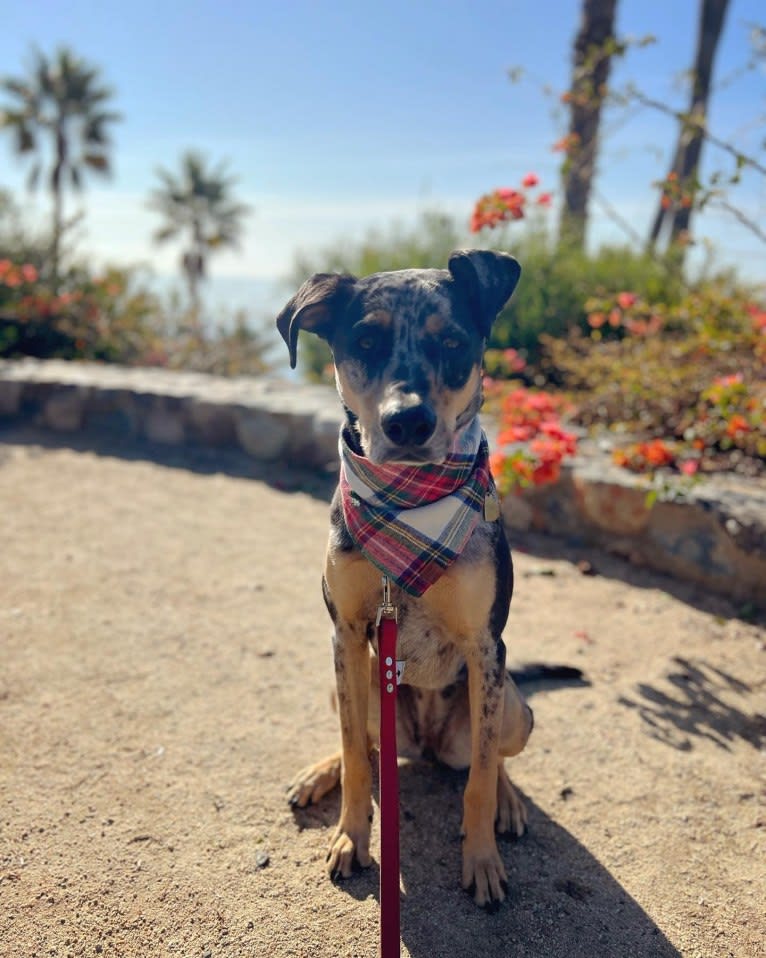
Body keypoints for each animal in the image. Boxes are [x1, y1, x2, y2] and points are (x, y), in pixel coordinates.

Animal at [276, 248, 536, 908]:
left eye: (453, 342)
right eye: (365, 341)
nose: (408, 423)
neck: (407, 506)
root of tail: (421, 743)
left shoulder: (485, 647)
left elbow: (479, 777)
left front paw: (482, 859)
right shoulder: (345, 633)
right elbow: (355, 754)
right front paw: (351, 836)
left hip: (512, 704)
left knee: (493, 753)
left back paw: (510, 802)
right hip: (356, 678)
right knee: (365, 743)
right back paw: (320, 772)